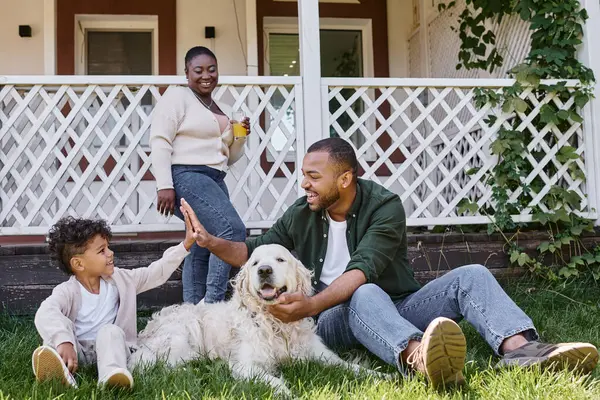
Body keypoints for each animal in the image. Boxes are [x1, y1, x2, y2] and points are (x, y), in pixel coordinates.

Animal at [129, 242, 392, 396]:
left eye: (280, 259)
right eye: (255, 262)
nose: (264, 270)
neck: (276, 324)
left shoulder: (320, 354)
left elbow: (350, 366)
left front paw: (383, 375)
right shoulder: (246, 365)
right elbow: (274, 381)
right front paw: (287, 392)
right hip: (181, 336)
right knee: (159, 366)